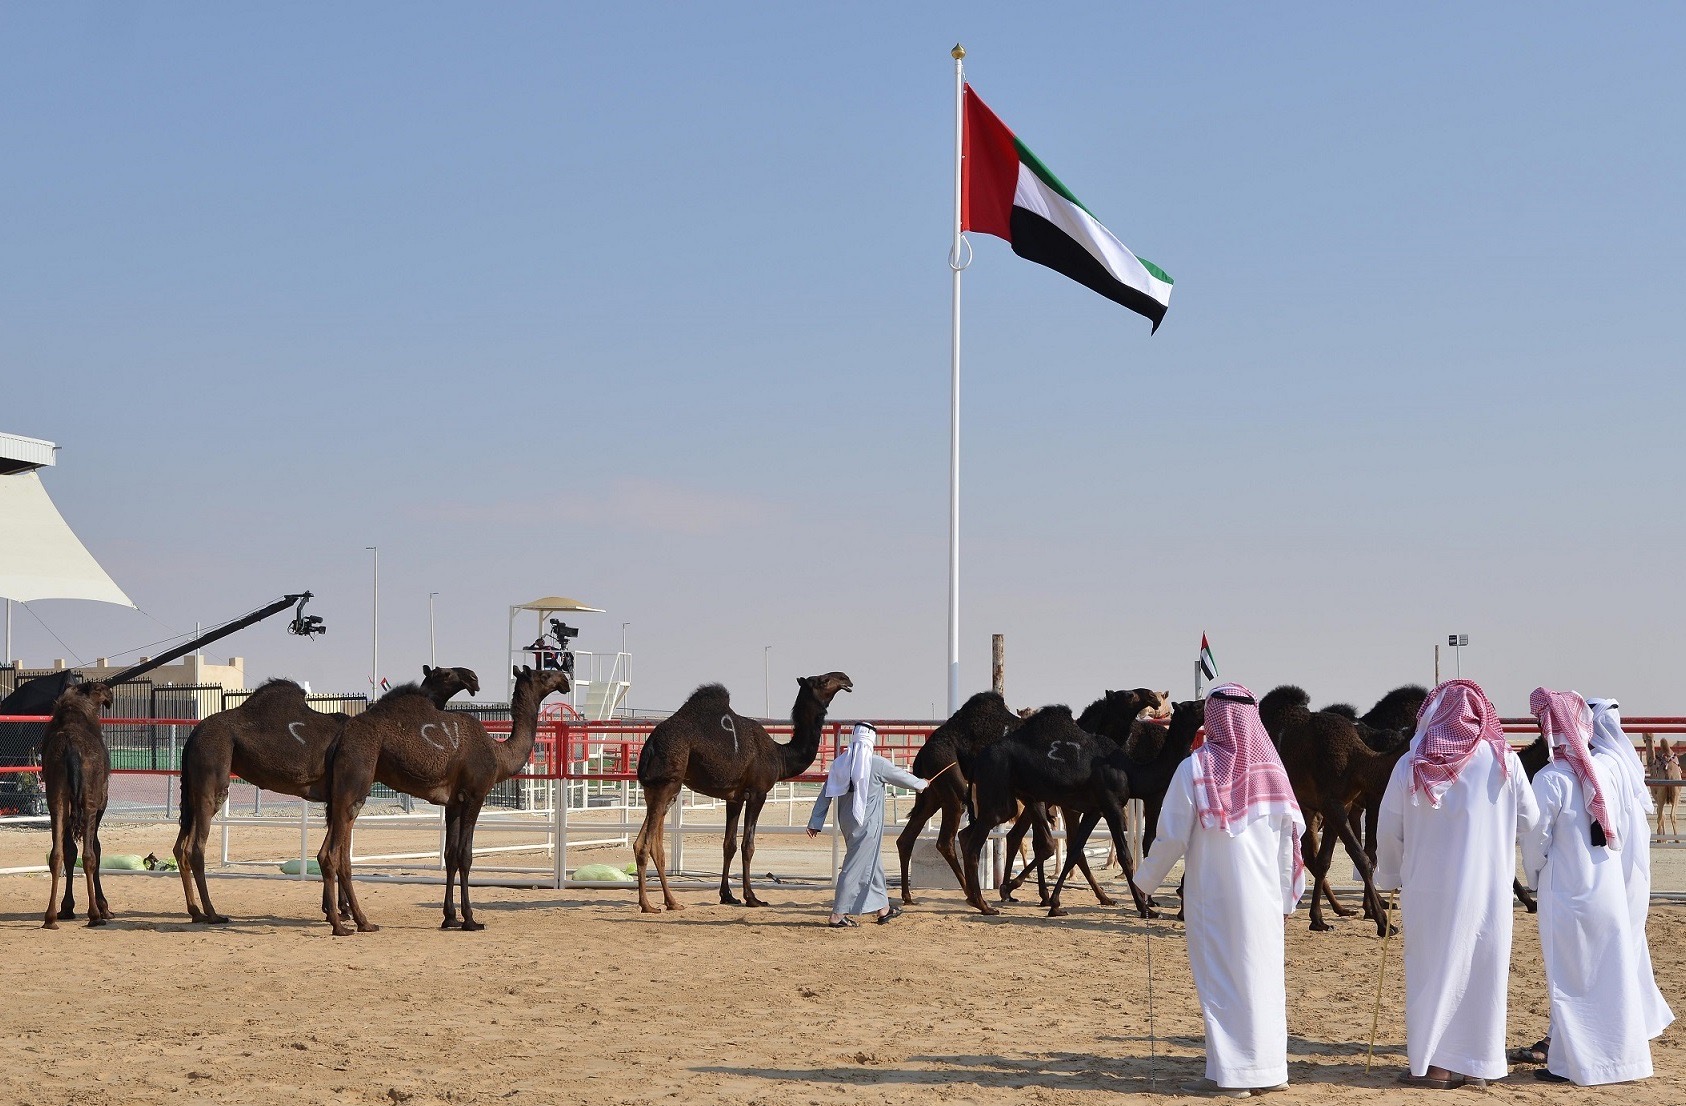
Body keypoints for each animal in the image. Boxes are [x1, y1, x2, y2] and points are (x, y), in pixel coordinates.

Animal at [42, 677, 114, 930]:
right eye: (101, 691)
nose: (109, 697)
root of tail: (71, 750)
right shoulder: (101, 800)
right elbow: (97, 849)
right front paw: (104, 907)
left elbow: (69, 851)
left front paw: (67, 907)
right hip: (89, 800)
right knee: (89, 855)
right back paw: (95, 915)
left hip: (57, 799)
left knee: (56, 854)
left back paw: (50, 917)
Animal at [175, 664, 478, 923]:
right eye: (445, 673)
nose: (472, 678)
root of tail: (193, 735)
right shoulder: (342, 794)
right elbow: (341, 848)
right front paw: (342, 911)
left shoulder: (333, 798)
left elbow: (340, 846)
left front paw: (337, 909)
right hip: (212, 773)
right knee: (195, 847)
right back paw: (212, 913)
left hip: (191, 787)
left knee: (180, 846)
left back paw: (195, 911)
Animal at [318, 664, 569, 930]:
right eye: (544, 674)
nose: (564, 680)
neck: (499, 753)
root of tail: (339, 739)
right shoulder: (474, 795)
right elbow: (465, 856)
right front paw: (470, 919)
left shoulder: (454, 803)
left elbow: (450, 855)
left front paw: (450, 917)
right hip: (354, 781)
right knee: (334, 852)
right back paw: (342, 924)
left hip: (340, 792)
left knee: (333, 851)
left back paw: (356, 920)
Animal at [630, 671, 849, 910]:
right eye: (822, 680)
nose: (846, 679)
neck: (780, 755)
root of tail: (650, 744)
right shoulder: (757, 793)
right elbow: (747, 845)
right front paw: (752, 897)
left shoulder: (734, 797)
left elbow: (729, 844)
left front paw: (727, 895)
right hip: (667, 783)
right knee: (644, 844)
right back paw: (647, 905)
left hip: (654, 789)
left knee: (652, 843)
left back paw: (672, 902)